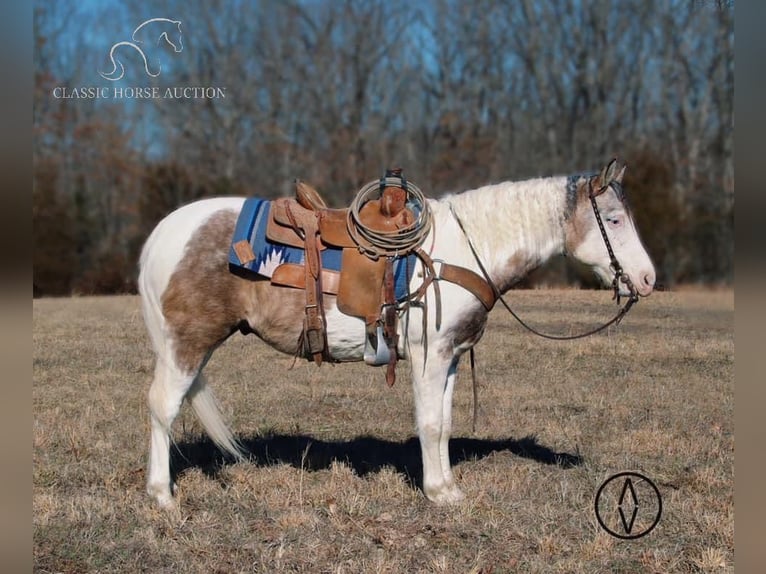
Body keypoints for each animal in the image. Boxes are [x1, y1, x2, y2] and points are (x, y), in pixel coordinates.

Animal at [136, 156, 656, 508]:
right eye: (613, 219)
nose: (648, 279)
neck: (461, 250)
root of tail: (162, 233)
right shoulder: (429, 355)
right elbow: (429, 423)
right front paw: (436, 493)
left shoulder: (449, 356)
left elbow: (443, 422)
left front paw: (448, 488)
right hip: (187, 343)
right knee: (162, 406)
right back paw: (162, 495)